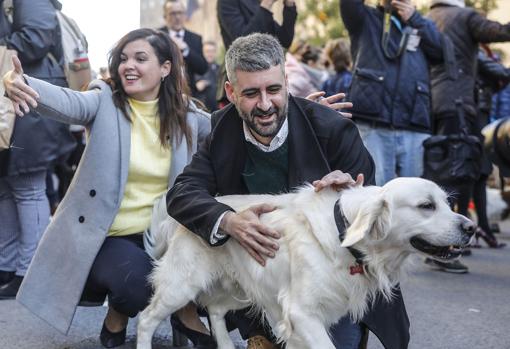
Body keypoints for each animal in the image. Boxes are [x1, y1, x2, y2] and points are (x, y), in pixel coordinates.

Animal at [135, 178, 474, 346]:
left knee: (216, 311)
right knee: (146, 320)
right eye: (426, 206)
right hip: (181, 285)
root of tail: (178, 219)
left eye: (447, 203)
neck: (343, 234)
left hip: (243, 288)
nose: (470, 228)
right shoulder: (302, 314)